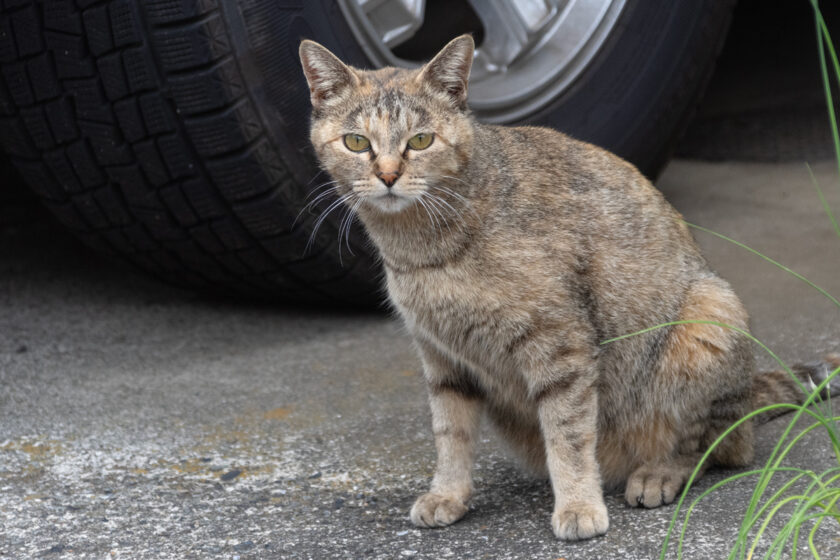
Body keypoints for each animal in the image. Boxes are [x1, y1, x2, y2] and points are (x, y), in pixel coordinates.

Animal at [298, 34, 836, 540]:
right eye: (356, 143)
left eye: (421, 140)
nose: (388, 175)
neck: (422, 250)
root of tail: (747, 393)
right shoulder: (442, 358)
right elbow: (450, 435)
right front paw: (447, 494)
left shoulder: (560, 345)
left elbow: (569, 436)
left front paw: (578, 505)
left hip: (709, 316)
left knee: (710, 446)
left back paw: (658, 472)